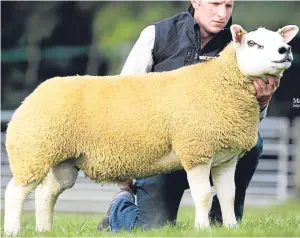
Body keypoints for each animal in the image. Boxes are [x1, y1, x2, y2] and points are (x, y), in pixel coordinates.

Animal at [4, 24, 298, 234]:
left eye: (280, 40)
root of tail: (33, 95)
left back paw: (44, 230)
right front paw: (202, 228)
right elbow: (203, 195)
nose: (285, 50)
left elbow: (228, 194)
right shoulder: (196, 150)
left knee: (45, 194)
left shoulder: (225, 157)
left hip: (63, 161)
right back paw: (13, 231)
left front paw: (231, 227)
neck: (220, 83)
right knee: (15, 192)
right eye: (253, 43)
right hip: (33, 150)